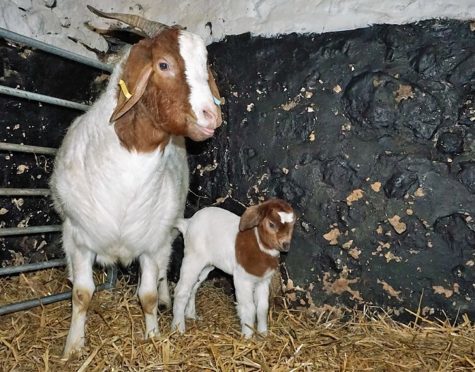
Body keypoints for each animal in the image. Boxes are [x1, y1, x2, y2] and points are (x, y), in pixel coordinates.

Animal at [173, 201, 296, 338]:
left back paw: (191, 315)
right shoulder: (241, 279)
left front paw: (263, 334)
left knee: (193, 288)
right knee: (181, 290)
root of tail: (188, 223)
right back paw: (178, 328)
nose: (286, 245)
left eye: (292, 225)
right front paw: (247, 336)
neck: (259, 247)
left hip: (206, 265)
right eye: (271, 224)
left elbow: (262, 308)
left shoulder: (263, 281)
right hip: (193, 258)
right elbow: (249, 308)